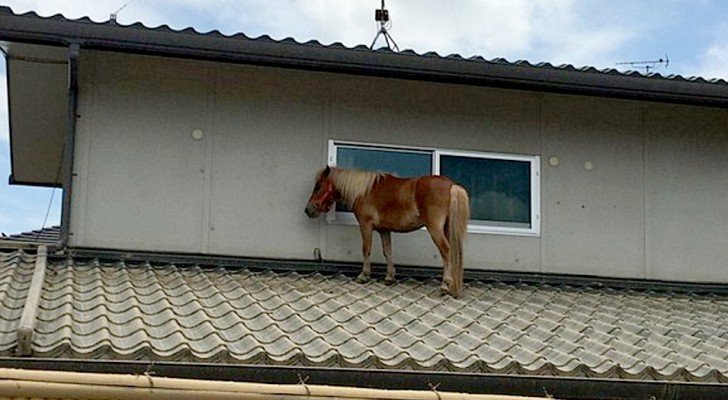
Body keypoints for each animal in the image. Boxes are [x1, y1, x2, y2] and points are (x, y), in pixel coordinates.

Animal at [305, 166, 470, 297]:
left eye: (318, 186)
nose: (308, 210)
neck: (365, 191)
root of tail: (452, 186)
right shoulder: (384, 230)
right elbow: (387, 251)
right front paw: (389, 277)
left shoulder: (366, 225)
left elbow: (366, 249)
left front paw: (364, 275)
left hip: (435, 229)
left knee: (446, 250)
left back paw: (445, 285)